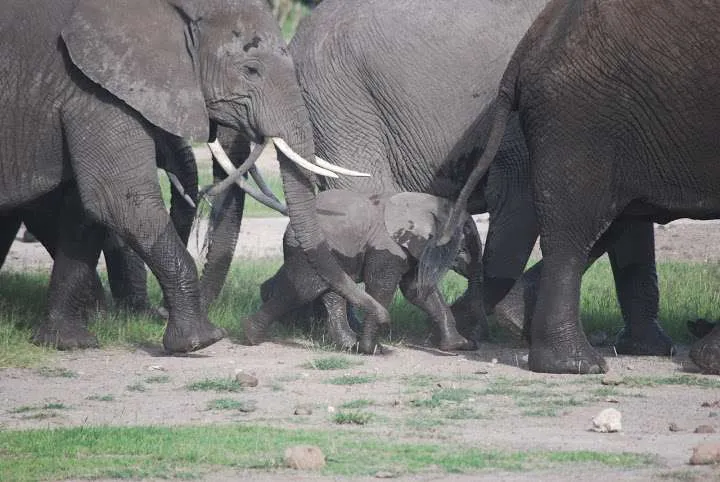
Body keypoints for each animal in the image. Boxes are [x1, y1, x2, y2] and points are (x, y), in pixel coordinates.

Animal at [1, 0, 386, 353]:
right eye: (250, 69)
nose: (380, 318)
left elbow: (83, 211)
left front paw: (69, 342)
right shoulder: (93, 90)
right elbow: (118, 200)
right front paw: (200, 341)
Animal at [245, 190, 482, 353]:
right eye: (463, 245)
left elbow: (416, 290)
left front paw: (458, 345)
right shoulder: (387, 245)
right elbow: (382, 287)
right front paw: (372, 350)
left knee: (329, 291)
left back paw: (348, 345)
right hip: (308, 251)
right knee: (304, 288)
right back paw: (251, 336)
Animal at [283, 0, 671, 356]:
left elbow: (627, 216)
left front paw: (648, 348)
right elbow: (527, 199)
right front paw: (487, 326)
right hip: (342, 101)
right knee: (363, 196)